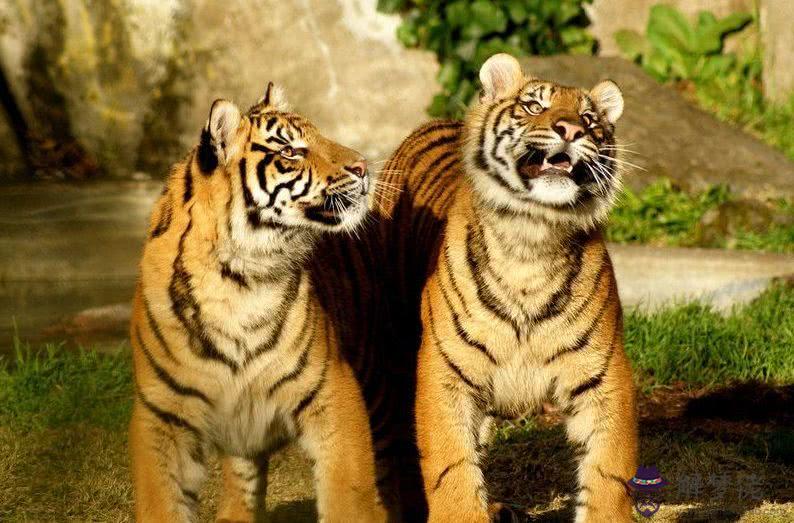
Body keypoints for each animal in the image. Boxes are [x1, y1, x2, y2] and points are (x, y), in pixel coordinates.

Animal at [129, 83, 388, 523]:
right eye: (291, 151)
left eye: (319, 134)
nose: (363, 167)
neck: (236, 281)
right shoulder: (160, 413)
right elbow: (160, 503)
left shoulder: (333, 390)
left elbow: (347, 496)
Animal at [373, 53, 639, 522]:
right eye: (534, 106)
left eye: (590, 120)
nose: (571, 130)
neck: (532, 238)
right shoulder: (445, 372)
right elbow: (451, 468)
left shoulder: (604, 374)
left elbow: (608, 471)